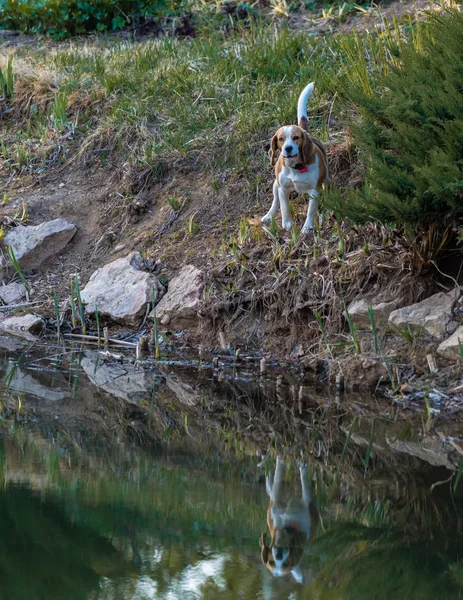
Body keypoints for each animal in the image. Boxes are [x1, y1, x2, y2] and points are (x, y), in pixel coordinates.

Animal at [262, 82, 332, 234]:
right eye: (281, 139)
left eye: (296, 137)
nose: (288, 148)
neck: (295, 167)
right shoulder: (282, 188)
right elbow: (284, 207)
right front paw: (287, 223)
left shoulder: (314, 190)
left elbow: (311, 211)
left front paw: (307, 226)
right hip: (275, 185)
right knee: (275, 202)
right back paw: (269, 215)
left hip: (327, 181)